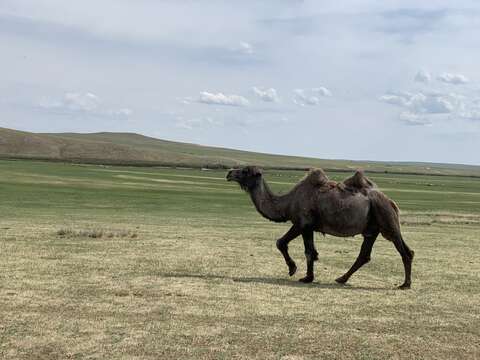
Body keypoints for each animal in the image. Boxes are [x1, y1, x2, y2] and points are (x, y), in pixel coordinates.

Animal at [227, 167, 414, 290]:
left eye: (245, 171)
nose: (229, 173)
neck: (287, 203)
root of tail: (391, 202)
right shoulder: (306, 226)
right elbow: (297, 247)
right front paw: (300, 272)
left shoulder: (303, 224)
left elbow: (301, 249)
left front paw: (301, 274)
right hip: (372, 228)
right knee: (365, 255)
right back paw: (341, 279)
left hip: (386, 219)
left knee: (405, 251)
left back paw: (405, 284)